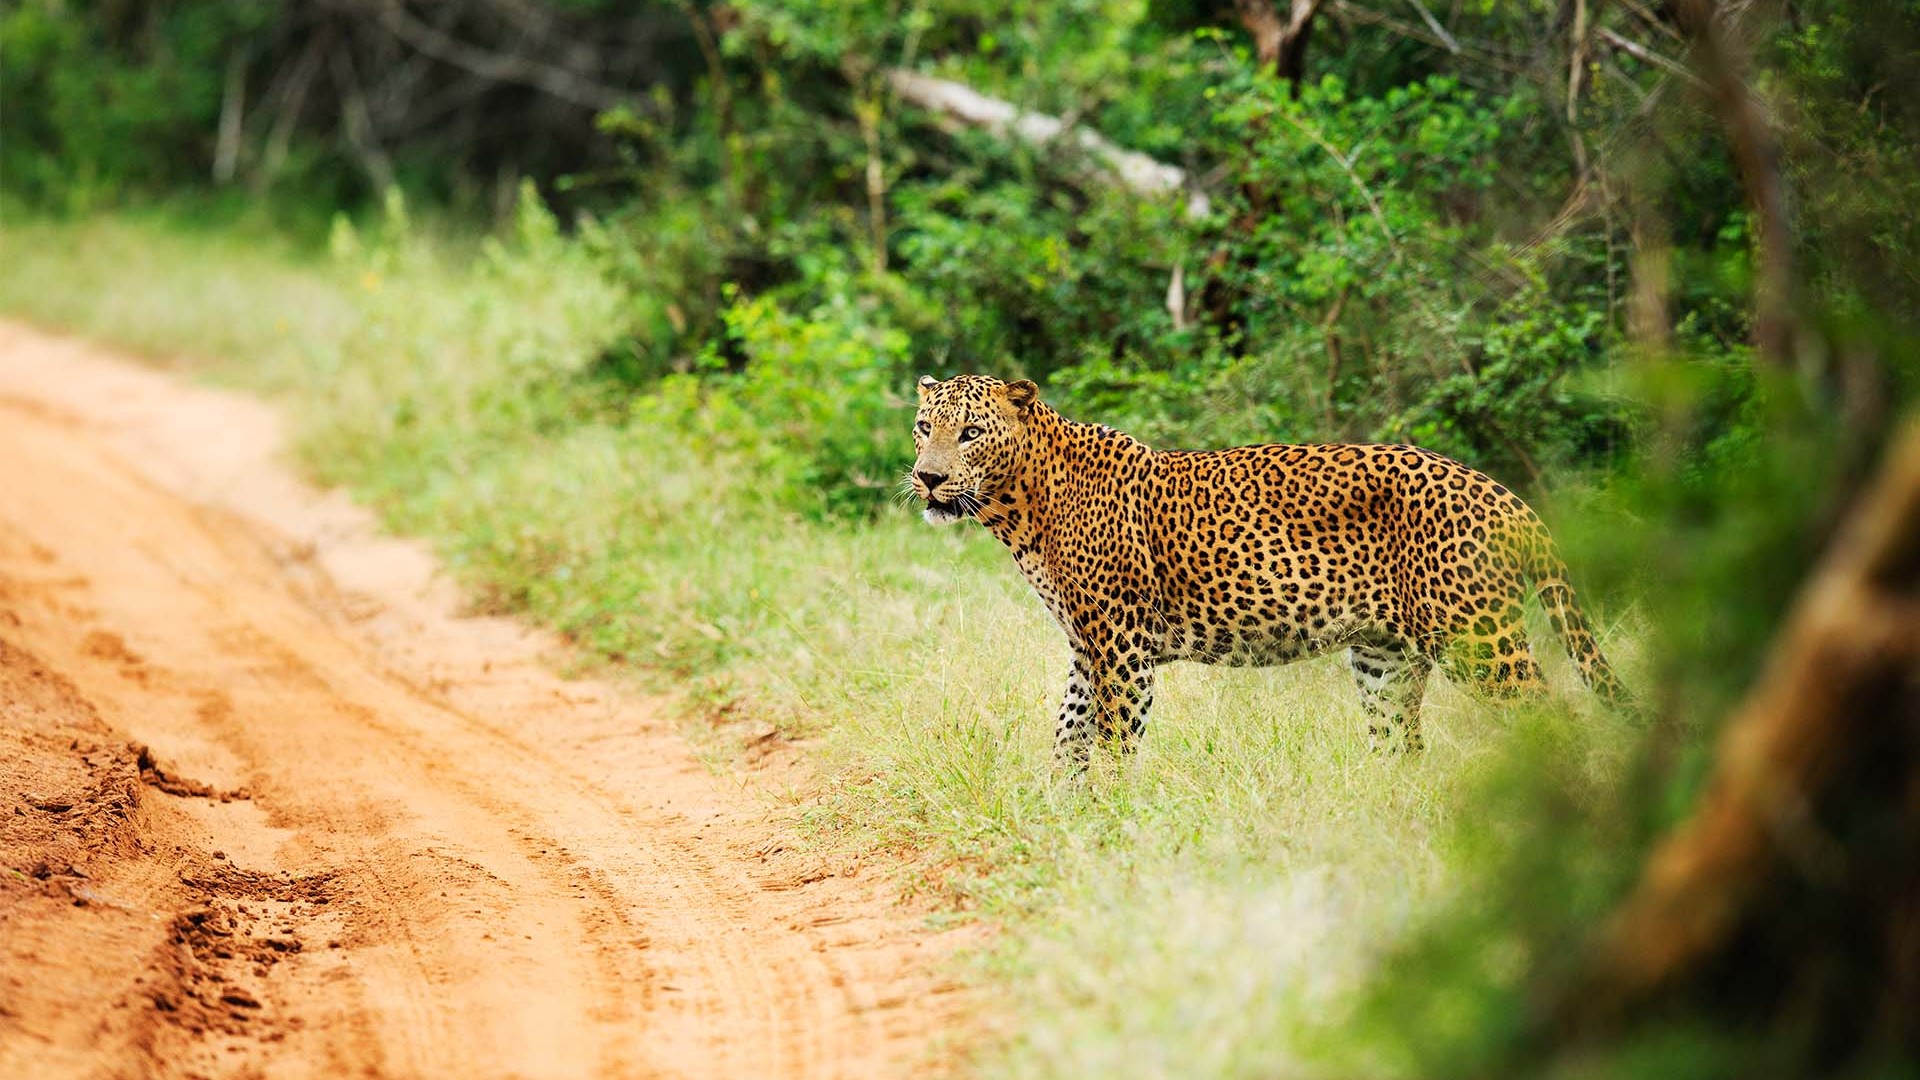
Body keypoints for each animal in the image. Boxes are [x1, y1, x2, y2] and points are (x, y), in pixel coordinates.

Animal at [906, 374, 1628, 760]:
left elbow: (1113, 741)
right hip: (1385, 656)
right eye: (922, 427)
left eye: (971, 432)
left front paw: (1112, 821)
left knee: (1554, 717)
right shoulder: (1088, 649)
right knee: (1400, 745)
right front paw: (1061, 815)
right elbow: (1067, 736)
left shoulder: (1123, 646)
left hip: (1477, 641)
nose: (928, 478)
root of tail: (1504, 495)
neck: (1020, 506)